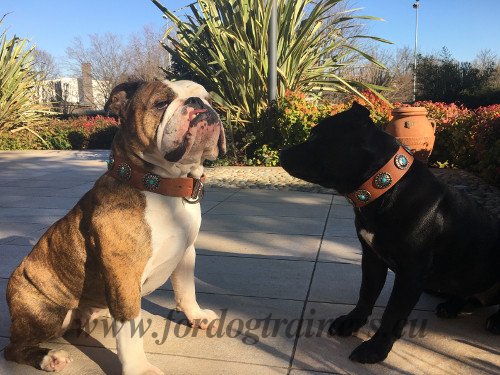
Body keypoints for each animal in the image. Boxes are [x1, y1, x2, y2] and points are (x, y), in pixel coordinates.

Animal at [282, 102, 500, 364]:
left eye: (315, 136)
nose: (282, 152)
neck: (383, 187)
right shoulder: (372, 258)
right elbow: (366, 294)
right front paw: (352, 322)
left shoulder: (410, 273)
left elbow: (393, 313)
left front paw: (375, 349)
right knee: (469, 296)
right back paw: (452, 306)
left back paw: (496, 321)